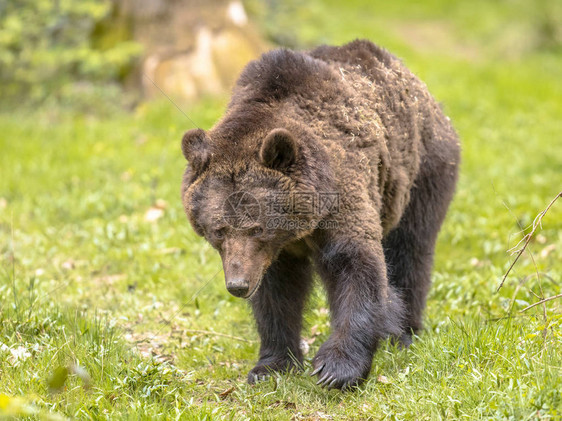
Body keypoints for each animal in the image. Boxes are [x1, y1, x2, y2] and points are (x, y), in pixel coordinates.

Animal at [182, 40, 458, 390]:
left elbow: (355, 265)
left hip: (422, 170)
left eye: (257, 228)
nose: (238, 285)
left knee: (411, 250)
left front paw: (336, 368)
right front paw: (272, 365)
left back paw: (404, 333)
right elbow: (277, 293)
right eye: (218, 230)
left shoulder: (341, 195)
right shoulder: (273, 254)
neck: (298, 230)